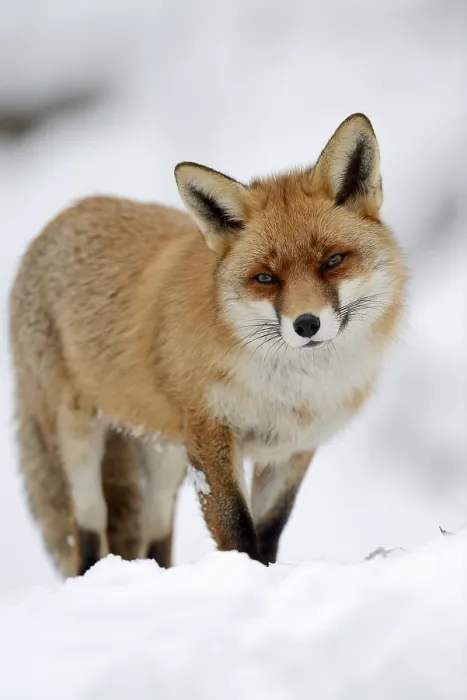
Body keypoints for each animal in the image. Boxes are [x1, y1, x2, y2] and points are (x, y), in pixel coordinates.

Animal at [9, 113, 406, 576]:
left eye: (333, 261)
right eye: (266, 278)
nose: (306, 324)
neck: (288, 389)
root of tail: (64, 214)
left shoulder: (292, 449)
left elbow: (269, 530)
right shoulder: (210, 432)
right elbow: (236, 528)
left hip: (164, 456)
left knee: (156, 536)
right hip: (79, 441)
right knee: (88, 532)